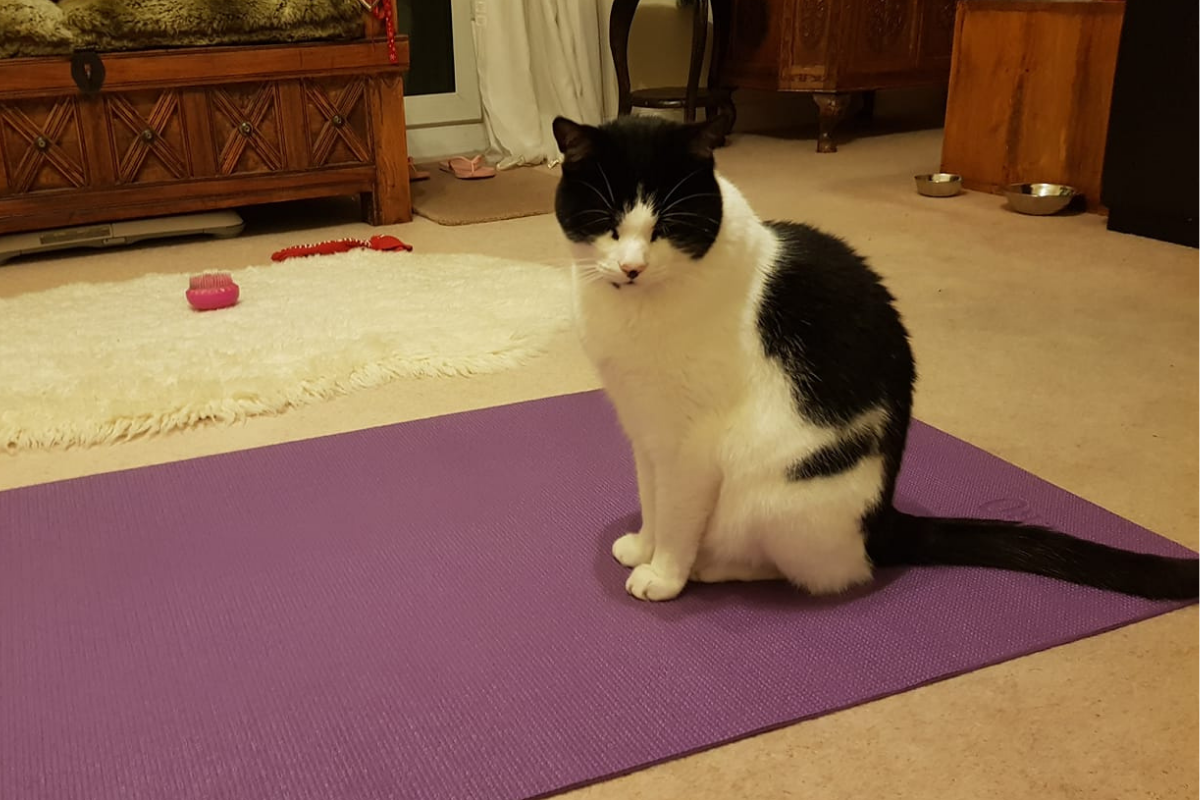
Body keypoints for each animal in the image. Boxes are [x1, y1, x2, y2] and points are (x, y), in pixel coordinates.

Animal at [552, 112, 1200, 599]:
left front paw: (664, 574)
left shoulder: (689, 446)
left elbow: (679, 515)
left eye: (667, 226)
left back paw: (715, 568)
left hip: (774, 495)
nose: (632, 267)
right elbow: (652, 498)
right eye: (607, 223)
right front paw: (643, 544)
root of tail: (882, 521)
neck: (635, 313)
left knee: (827, 573)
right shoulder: (646, 430)